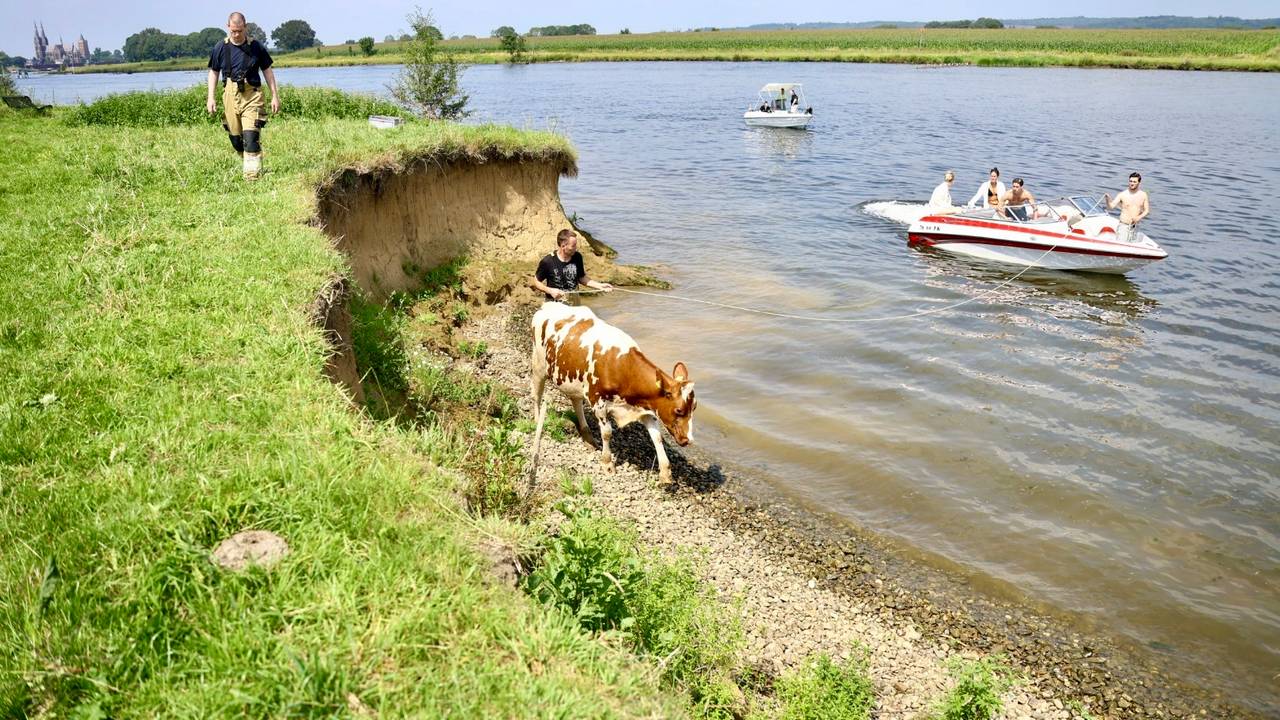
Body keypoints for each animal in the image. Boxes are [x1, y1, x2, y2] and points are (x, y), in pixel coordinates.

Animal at [528, 301, 697, 488]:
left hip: (574, 380)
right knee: (536, 393)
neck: (622, 368)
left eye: (694, 408)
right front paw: (607, 463)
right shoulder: (598, 402)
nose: (687, 440)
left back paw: (587, 436)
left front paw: (665, 473)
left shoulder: (646, 408)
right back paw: (538, 420)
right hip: (539, 364)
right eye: (679, 410)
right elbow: (607, 432)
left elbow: (657, 437)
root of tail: (549, 304)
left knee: (576, 401)